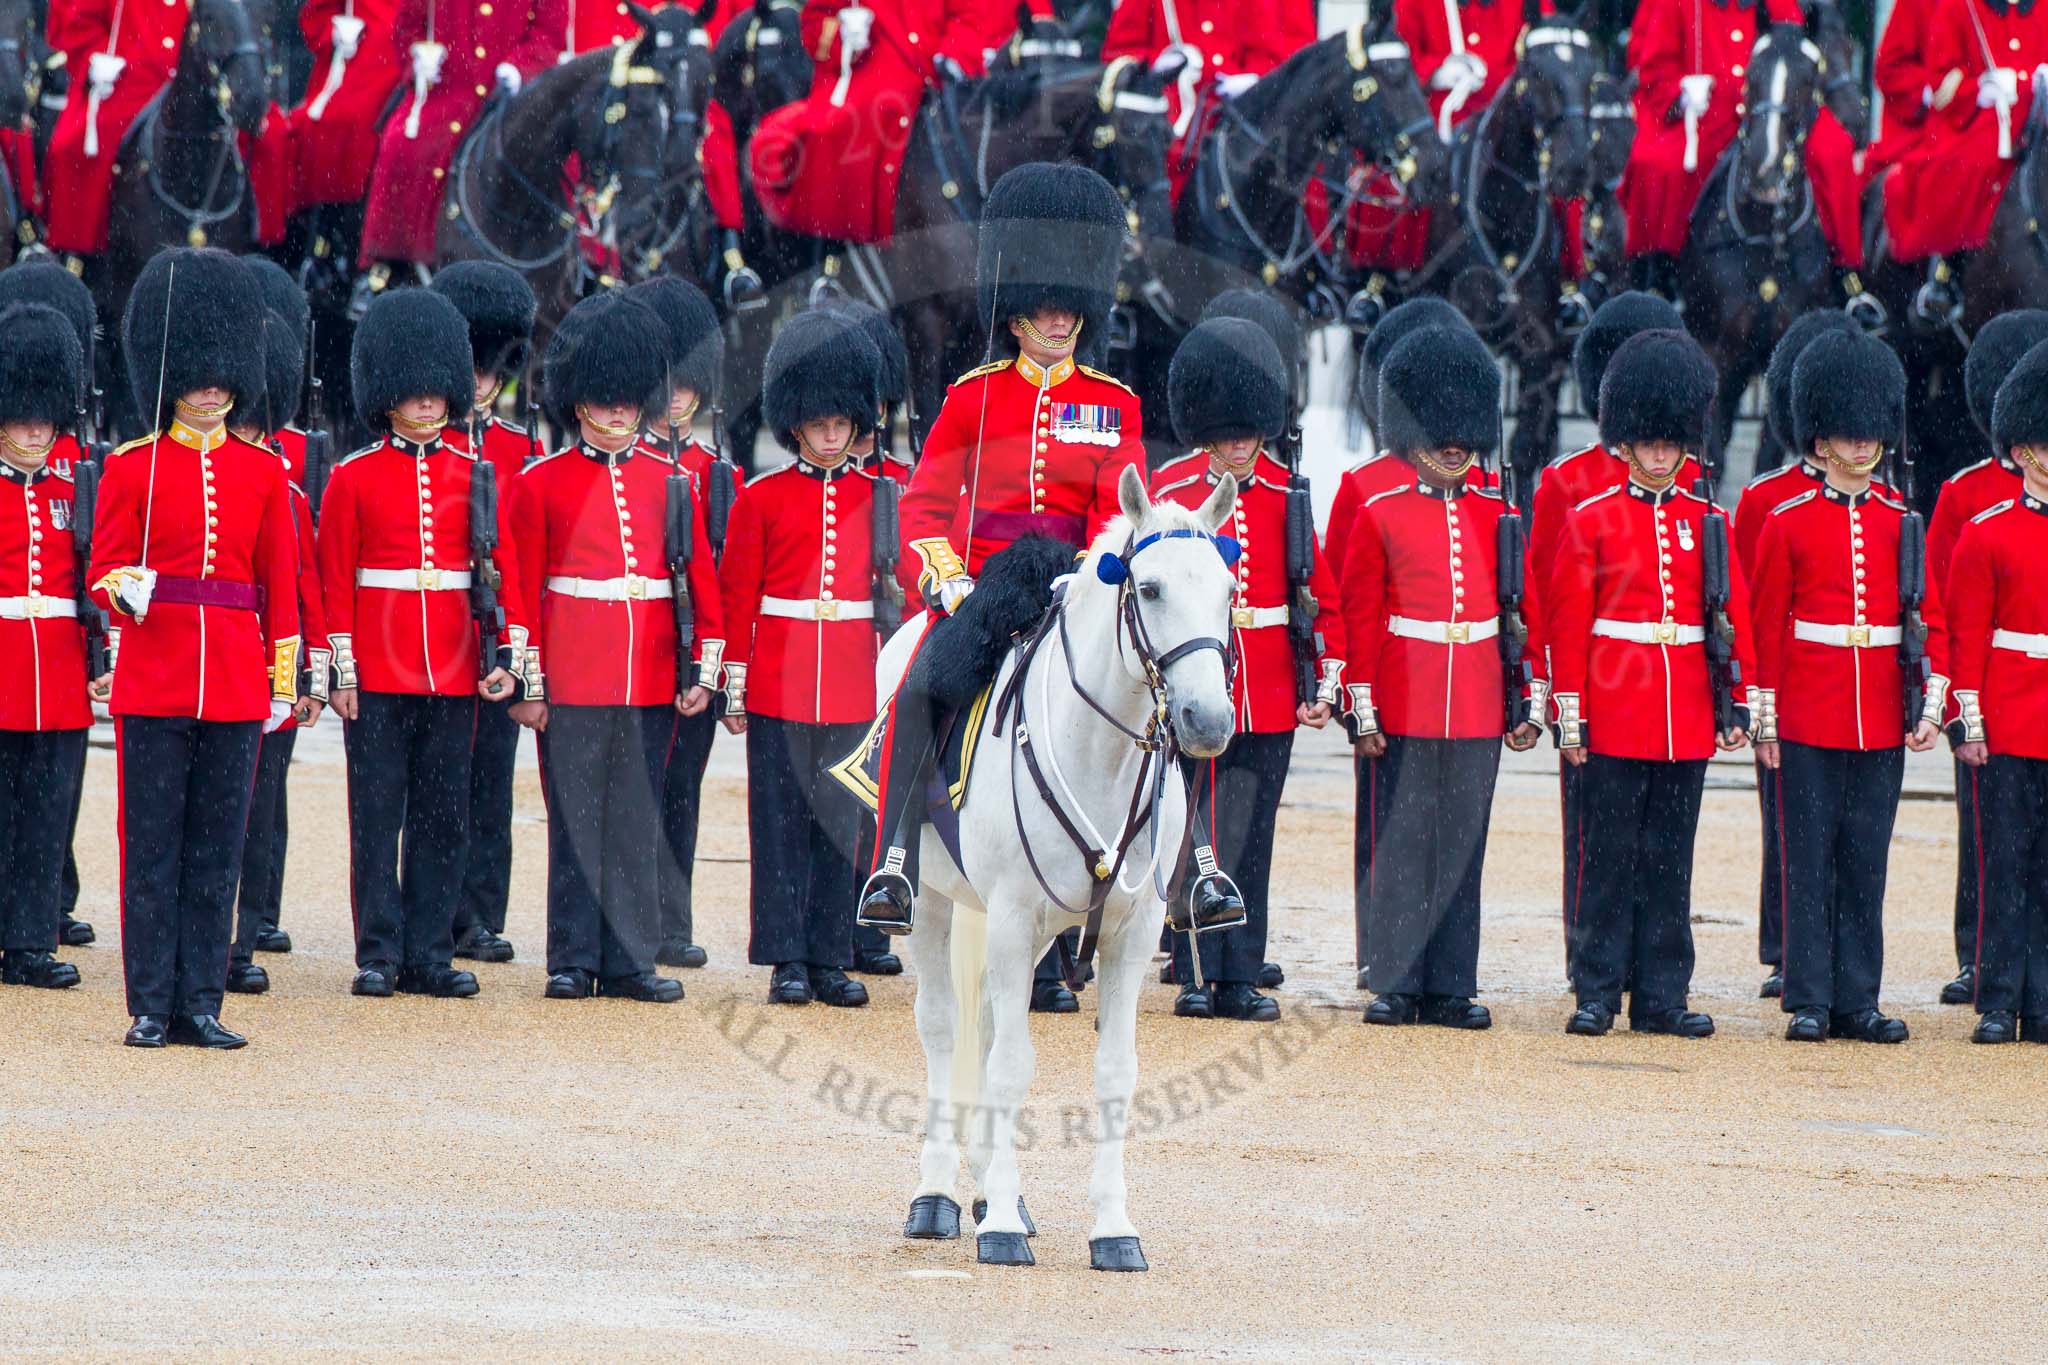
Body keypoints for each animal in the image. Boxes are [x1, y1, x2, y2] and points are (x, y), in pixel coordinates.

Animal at [883, 467, 1240, 1270]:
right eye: (1150, 589)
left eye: (1229, 590)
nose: (1207, 721)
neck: (1099, 753)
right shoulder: (1014, 916)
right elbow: (1012, 1064)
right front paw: (1002, 1230)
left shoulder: (1127, 932)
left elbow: (1113, 1072)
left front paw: (1111, 1227)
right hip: (940, 905)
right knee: (944, 1028)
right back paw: (937, 1195)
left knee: (985, 1026)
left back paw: (993, 1192)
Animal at [1398, 6, 1599, 503]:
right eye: (1537, 73)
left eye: (1591, 76)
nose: (1574, 167)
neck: (1505, 209)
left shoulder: (1539, 351)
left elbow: (1525, 448)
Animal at [1679, 6, 1869, 482]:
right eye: (1752, 74)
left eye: (1808, 77)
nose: (1764, 170)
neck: (1766, 234)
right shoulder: (1716, 352)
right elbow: (1713, 453)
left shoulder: (1782, 359)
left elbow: (1767, 456)